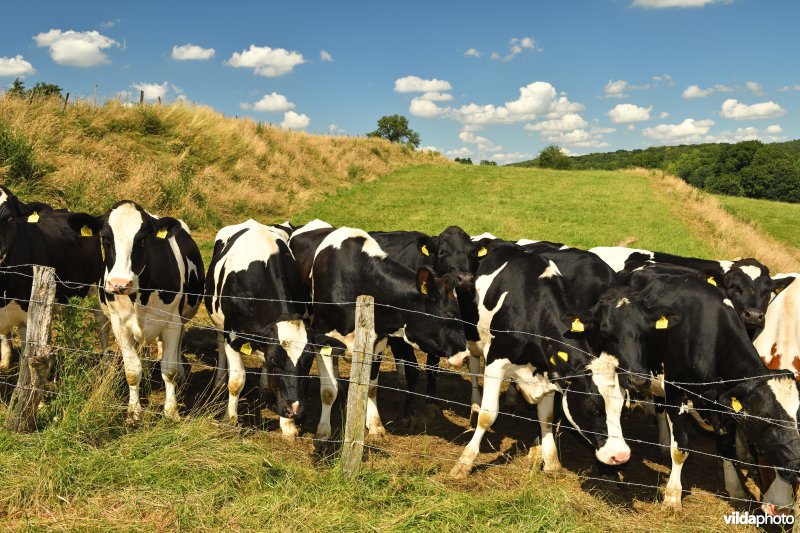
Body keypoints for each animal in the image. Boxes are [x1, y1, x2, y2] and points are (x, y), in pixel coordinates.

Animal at [67, 201, 204, 421]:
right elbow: (132, 370)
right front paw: (133, 411)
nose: (119, 283)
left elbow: (169, 370)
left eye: (142, 240)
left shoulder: (172, 322)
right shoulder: (120, 324)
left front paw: (171, 411)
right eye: (105, 238)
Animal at [205, 219, 325, 437]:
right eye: (274, 360)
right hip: (219, 322)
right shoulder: (232, 335)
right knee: (219, 343)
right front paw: (231, 419)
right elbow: (237, 381)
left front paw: (288, 425)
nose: (294, 409)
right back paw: (218, 382)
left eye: (309, 360)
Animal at [309, 227, 471, 448]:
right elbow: (327, 391)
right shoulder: (321, 339)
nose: (465, 355)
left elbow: (371, 387)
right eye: (450, 314)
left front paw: (375, 425)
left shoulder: (377, 342)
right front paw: (323, 433)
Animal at [449, 242, 631, 478]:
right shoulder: (496, 361)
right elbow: (488, 416)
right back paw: (474, 405)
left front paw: (551, 461)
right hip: (474, 337)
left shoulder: (549, 375)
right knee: (472, 367)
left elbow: (546, 417)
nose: (621, 456)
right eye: (593, 406)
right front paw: (465, 461)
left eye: (621, 407)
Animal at [568, 265, 800, 509]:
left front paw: (735, 488)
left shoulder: (725, 405)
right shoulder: (676, 391)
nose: (797, 465)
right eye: (767, 418)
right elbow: (681, 448)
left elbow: (727, 448)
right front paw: (672, 497)